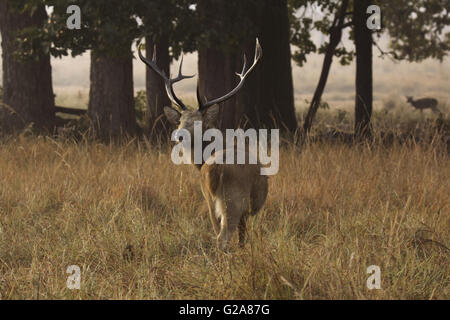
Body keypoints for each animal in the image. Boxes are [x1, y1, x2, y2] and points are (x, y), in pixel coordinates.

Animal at [138, 39, 268, 250]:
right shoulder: (244, 211)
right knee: (222, 237)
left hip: (209, 199)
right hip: (233, 199)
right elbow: (242, 237)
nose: (178, 135)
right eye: (181, 121)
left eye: (197, 122)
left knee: (217, 233)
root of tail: (216, 167)